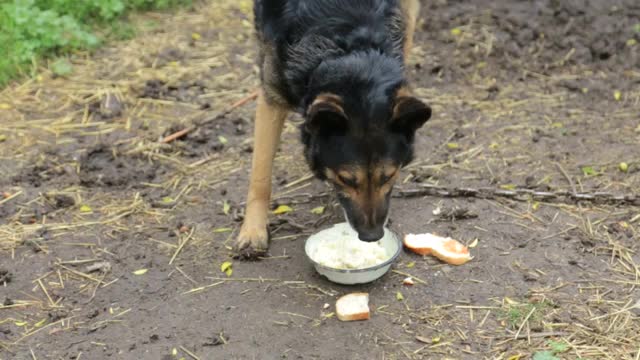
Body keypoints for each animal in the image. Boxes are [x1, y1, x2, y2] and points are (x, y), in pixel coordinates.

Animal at [238, 0, 432, 258]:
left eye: (389, 176)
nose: (372, 237)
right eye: (346, 179)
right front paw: (253, 231)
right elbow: (260, 175)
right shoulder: (272, 95)